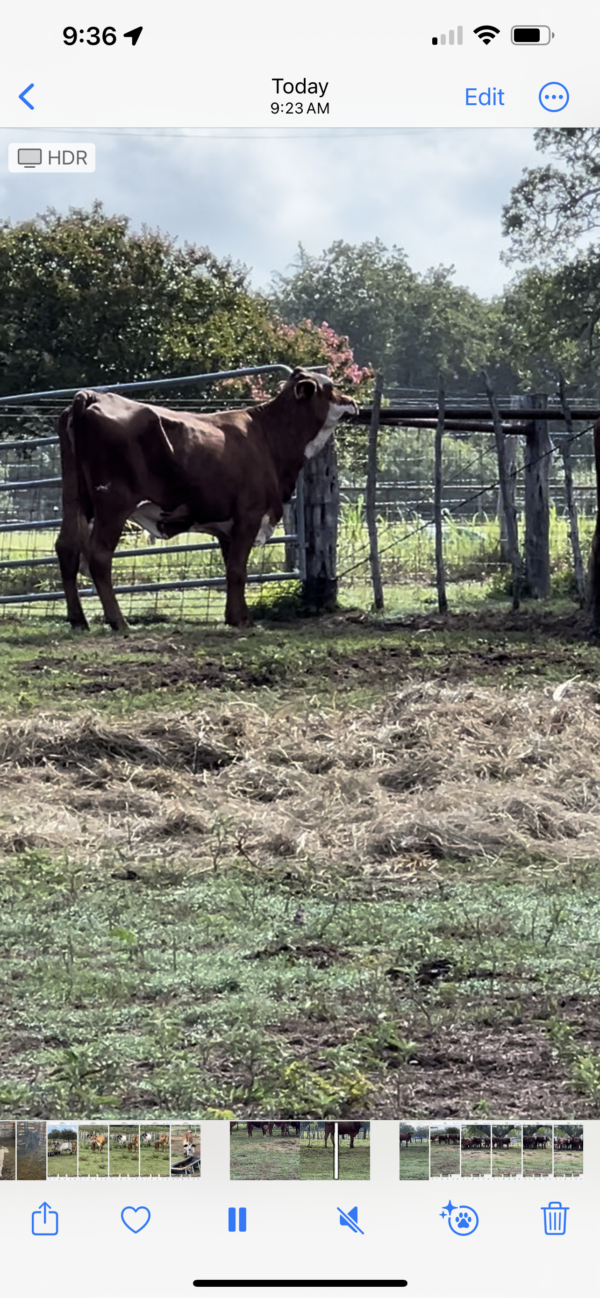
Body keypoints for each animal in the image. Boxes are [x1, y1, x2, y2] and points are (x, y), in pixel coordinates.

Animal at [55, 368, 355, 630]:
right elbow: (237, 570)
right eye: (330, 387)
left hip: (75, 499)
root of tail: (92, 396)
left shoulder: (229, 526)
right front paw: (242, 621)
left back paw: (78, 620)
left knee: (67, 548)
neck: (269, 436)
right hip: (113, 504)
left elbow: (232, 568)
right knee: (99, 555)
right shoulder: (249, 514)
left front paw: (236, 616)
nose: (353, 402)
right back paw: (118, 621)